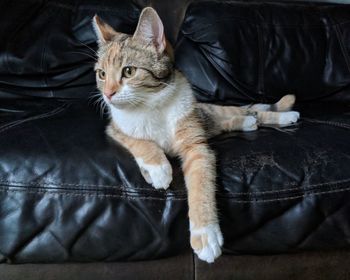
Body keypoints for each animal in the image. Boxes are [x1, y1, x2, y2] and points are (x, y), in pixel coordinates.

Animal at [91, 7, 300, 264]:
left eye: (128, 71)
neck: (150, 105)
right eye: (101, 74)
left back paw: (284, 116)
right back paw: (248, 123)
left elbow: (201, 182)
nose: (108, 94)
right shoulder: (115, 128)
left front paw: (205, 234)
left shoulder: (196, 145)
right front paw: (157, 169)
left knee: (250, 110)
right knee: (238, 118)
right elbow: (140, 140)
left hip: (207, 114)